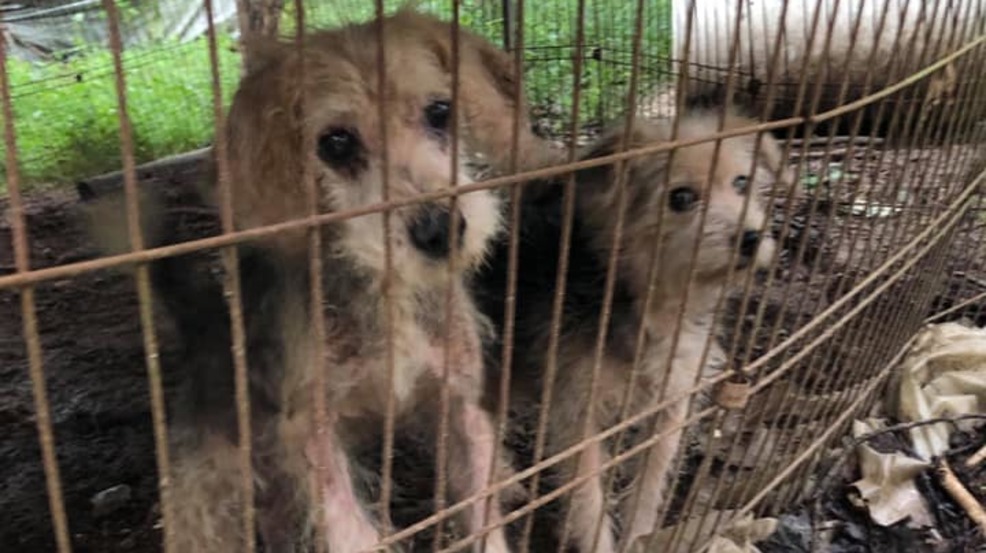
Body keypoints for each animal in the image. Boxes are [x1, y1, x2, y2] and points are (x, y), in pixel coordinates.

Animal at [472, 109, 788, 552]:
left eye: (741, 183)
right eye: (681, 198)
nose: (752, 238)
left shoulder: (672, 401)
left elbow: (650, 484)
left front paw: (640, 534)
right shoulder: (578, 415)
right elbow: (590, 499)